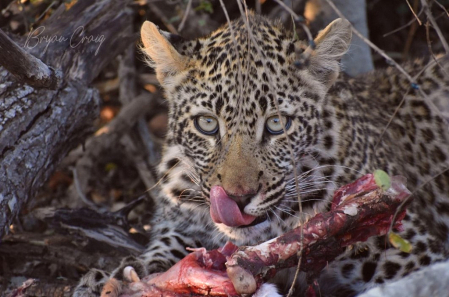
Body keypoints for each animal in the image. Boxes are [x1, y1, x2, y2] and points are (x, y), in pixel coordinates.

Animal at [75, 12, 448, 294]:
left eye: (277, 124)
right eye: (207, 124)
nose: (237, 199)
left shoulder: (414, 254)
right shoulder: (180, 220)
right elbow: (163, 247)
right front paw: (113, 277)